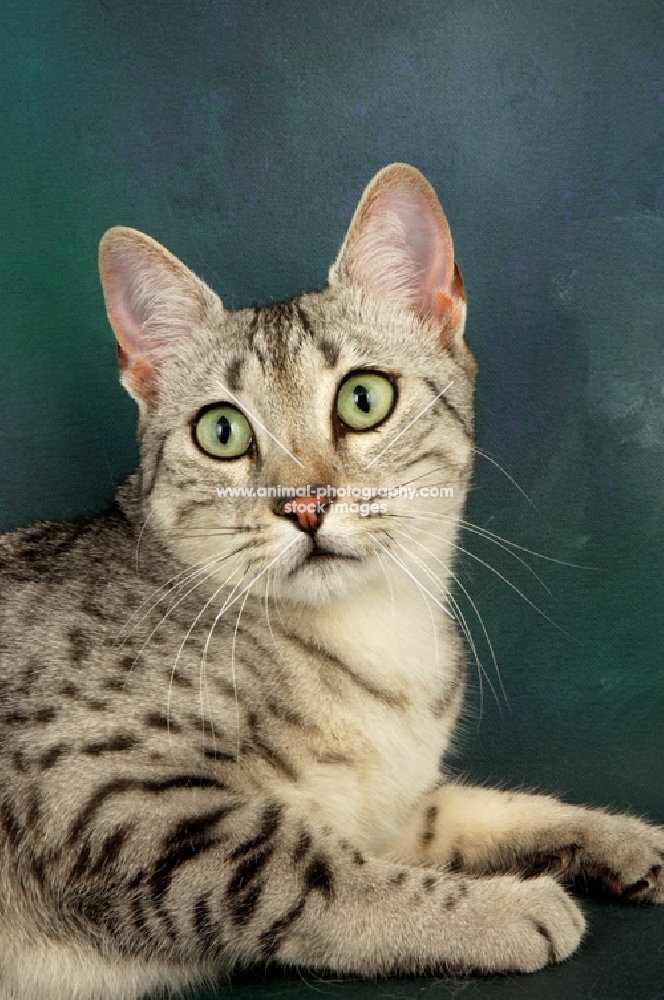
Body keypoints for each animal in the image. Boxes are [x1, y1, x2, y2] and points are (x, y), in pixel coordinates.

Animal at [1, 166, 664, 1000]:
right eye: (222, 432)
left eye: (363, 398)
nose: (305, 505)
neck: (377, 639)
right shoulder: (108, 793)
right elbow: (305, 868)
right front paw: (499, 912)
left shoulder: (391, 805)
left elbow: (465, 811)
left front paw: (610, 835)